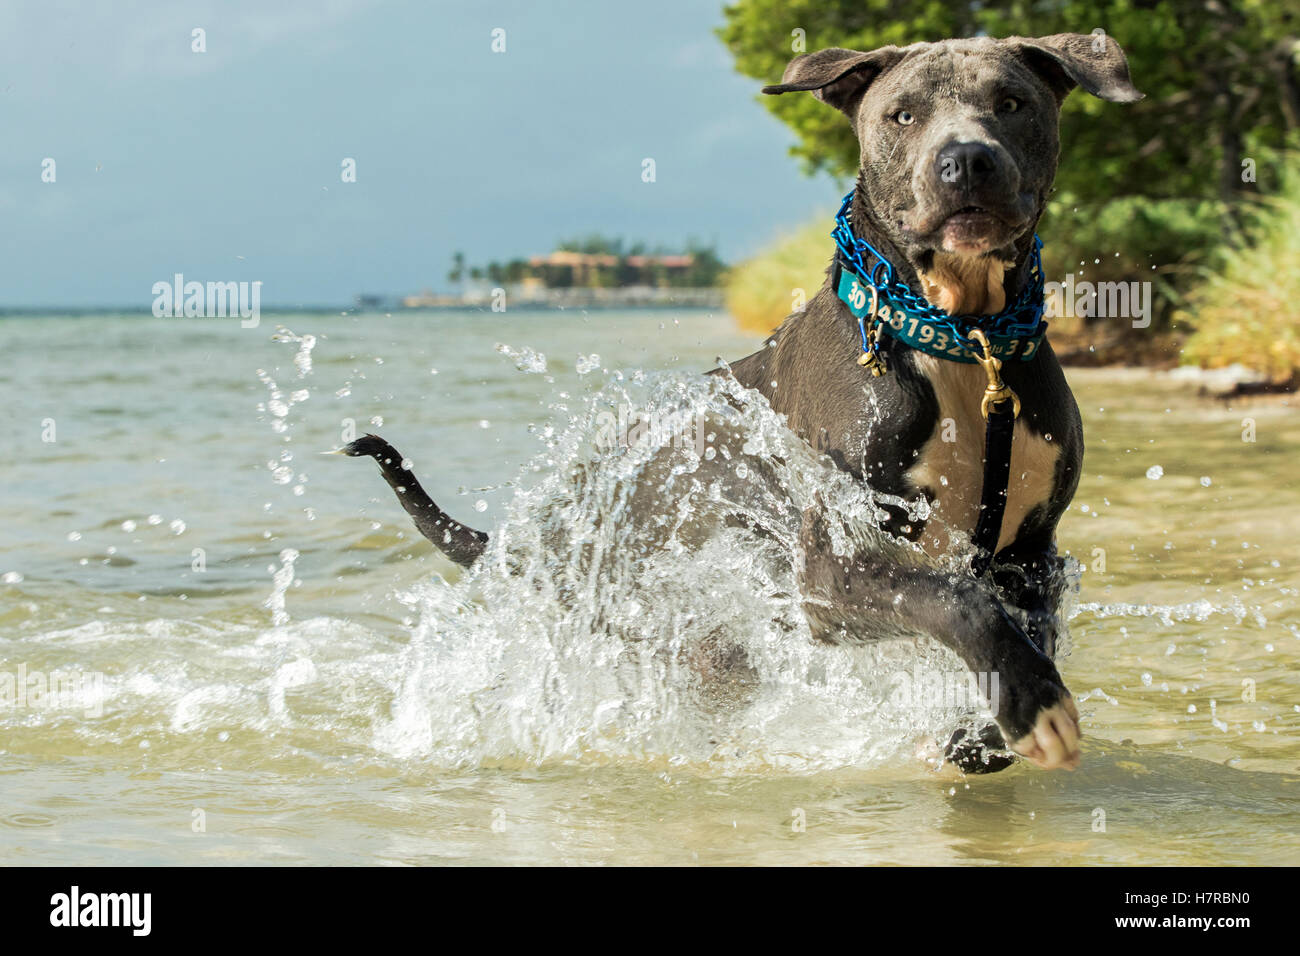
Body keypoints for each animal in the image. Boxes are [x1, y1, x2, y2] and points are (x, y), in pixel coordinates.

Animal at [343, 33, 1138, 775]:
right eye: (903, 114)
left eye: (1012, 102)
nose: (967, 160)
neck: (961, 340)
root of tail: (563, 515)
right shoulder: (831, 571)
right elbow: (956, 599)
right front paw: (1031, 707)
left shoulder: (1031, 554)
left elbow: (1023, 622)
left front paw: (988, 729)